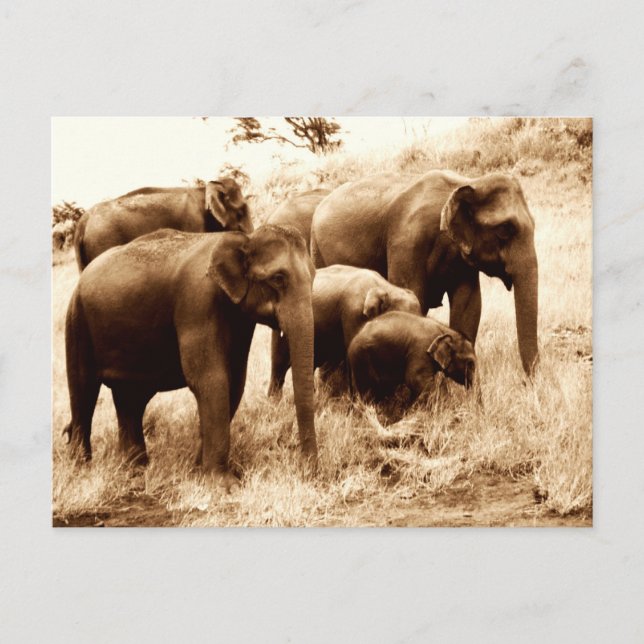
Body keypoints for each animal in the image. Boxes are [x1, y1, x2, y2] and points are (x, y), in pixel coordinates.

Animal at [63, 224, 317, 491]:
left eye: (313, 277)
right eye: (278, 278)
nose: (308, 473)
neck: (244, 240)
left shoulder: (239, 319)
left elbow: (234, 381)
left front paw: (197, 470)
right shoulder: (197, 303)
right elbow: (211, 379)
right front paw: (225, 486)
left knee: (130, 396)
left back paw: (135, 467)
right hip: (77, 320)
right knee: (83, 389)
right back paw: (81, 467)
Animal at [311, 170, 538, 374]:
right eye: (505, 230)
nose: (527, 382)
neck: (469, 181)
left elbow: (469, 304)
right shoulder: (407, 240)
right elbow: (414, 292)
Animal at [348, 311, 477, 403]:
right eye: (470, 363)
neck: (444, 330)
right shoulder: (421, 349)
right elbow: (414, 379)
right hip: (361, 359)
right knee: (368, 393)